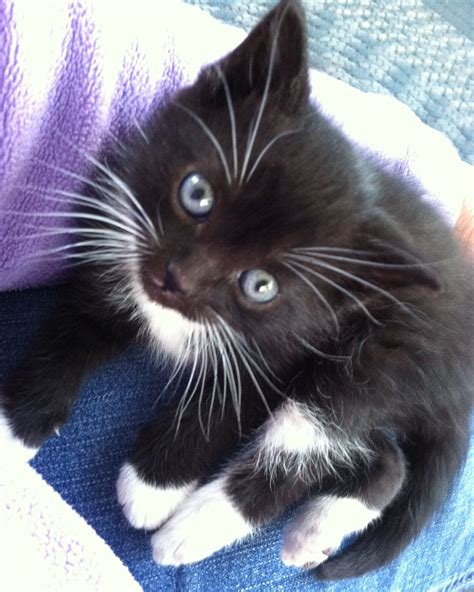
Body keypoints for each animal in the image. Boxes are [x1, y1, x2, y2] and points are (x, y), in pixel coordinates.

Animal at [1, 0, 472, 580]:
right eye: (197, 194)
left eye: (261, 285)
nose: (174, 278)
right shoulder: (114, 241)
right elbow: (67, 338)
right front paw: (13, 430)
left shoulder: (278, 348)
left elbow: (222, 407)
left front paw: (154, 484)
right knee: (388, 460)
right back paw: (313, 532)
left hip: (379, 360)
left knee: (310, 443)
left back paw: (190, 533)